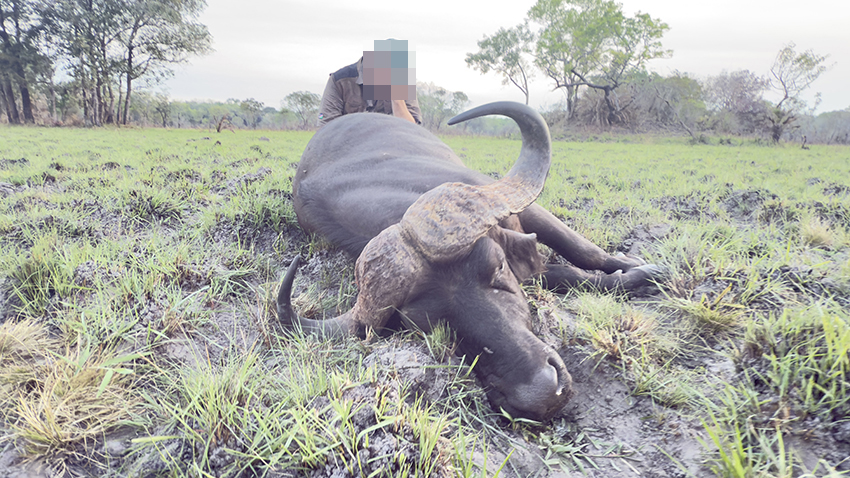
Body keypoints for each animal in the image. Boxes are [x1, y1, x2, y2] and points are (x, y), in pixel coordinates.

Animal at [278, 102, 660, 421]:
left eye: (498, 267)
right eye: (427, 325)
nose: (540, 394)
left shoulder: (516, 206)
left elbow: (581, 251)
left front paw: (641, 270)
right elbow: (564, 274)